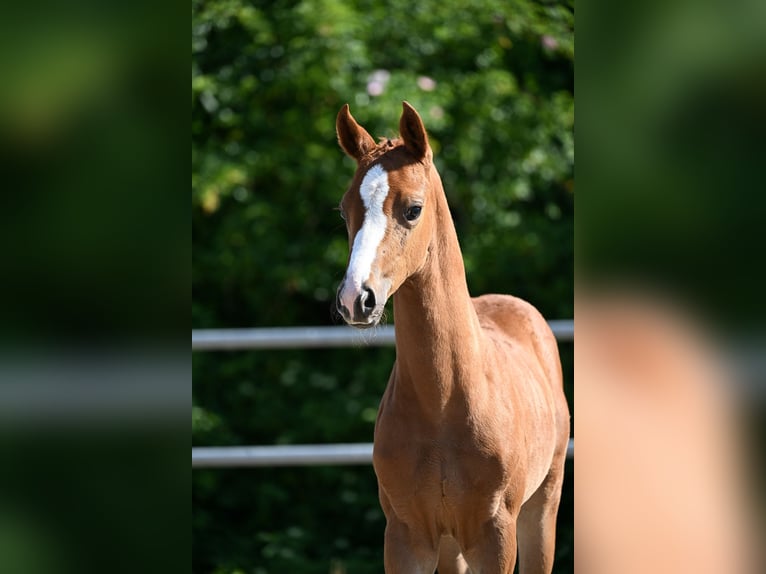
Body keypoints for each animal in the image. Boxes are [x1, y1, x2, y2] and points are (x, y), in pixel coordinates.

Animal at [334, 101, 570, 574]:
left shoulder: (496, 536)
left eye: (413, 209)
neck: (443, 402)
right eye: (344, 211)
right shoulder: (406, 537)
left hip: (542, 509)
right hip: (450, 544)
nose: (356, 299)